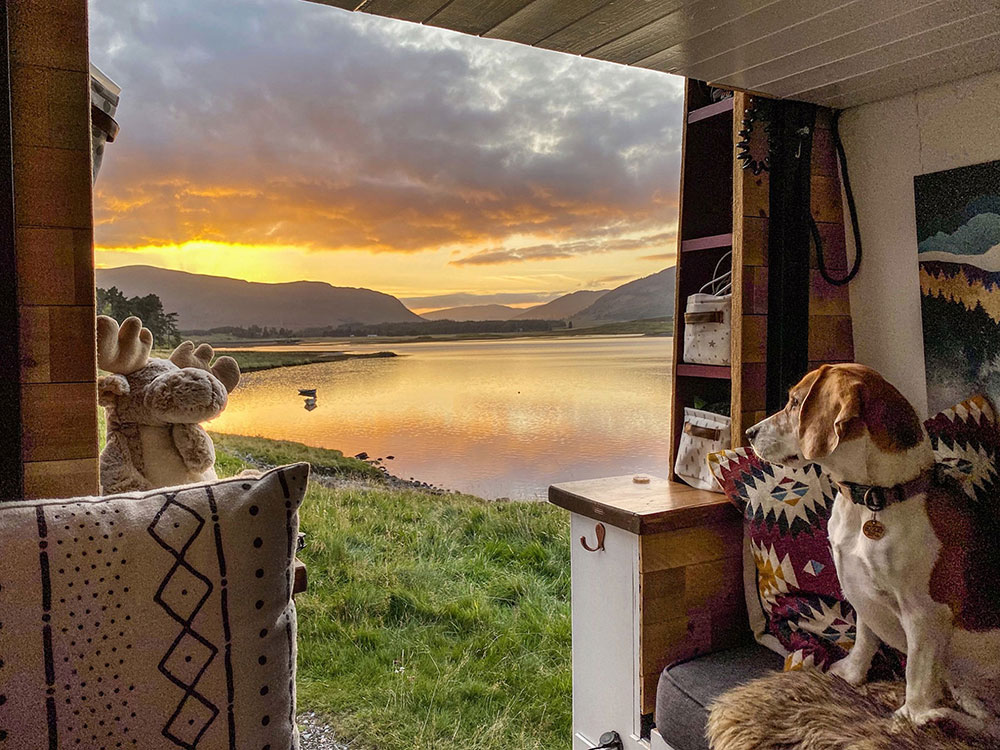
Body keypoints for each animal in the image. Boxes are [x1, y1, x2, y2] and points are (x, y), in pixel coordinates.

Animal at [748, 368, 1000, 736]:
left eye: (795, 402)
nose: (749, 433)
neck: (870, 499)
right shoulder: (861, 592)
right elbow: (864, 640)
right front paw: (850, 675)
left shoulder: (923, 615)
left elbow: (915, 678)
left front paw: (905, 719)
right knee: (987, 723)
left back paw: (931, 718)